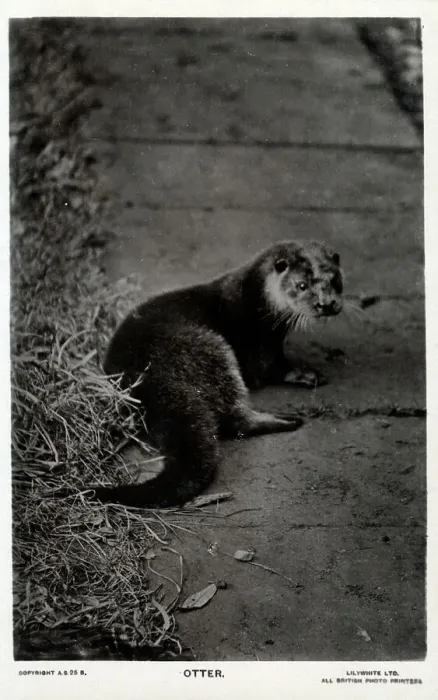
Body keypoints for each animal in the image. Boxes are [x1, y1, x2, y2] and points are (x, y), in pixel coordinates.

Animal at [93, 240, 343, 508]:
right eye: (301, 285)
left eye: (335, 280)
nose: (326, 304)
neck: (256, 301)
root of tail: (144, 376)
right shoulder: (260, 346)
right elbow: (272, 369)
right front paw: (307, 373)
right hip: (214, 348)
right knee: (235, 419)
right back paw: (287, 420)